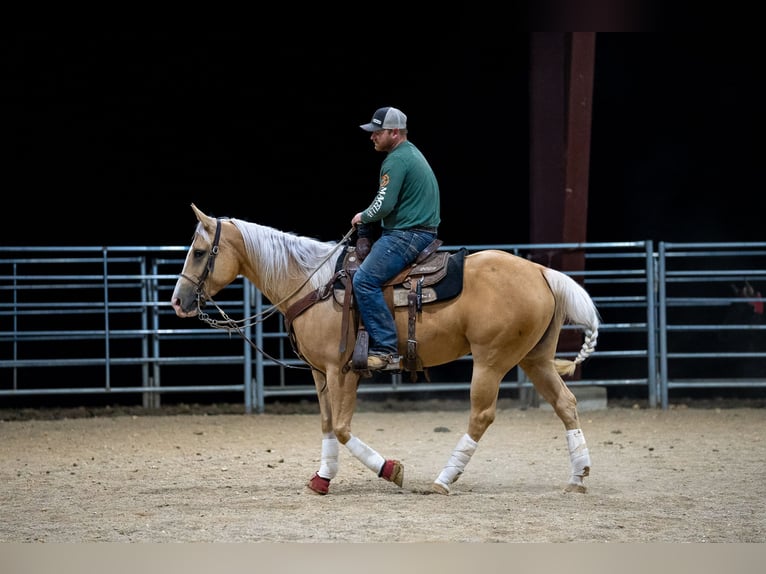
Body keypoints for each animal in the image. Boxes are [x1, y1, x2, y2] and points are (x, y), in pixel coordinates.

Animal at [171, 205, 604, 498]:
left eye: (199, 251)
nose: (177, 301)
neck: (315, 283)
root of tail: (541, 272)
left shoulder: (342, 370)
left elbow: (342, 428)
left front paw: (391, 470)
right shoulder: (319, 372)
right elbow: (327, 425)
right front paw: (321, 479)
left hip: (491, 361)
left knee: (481, 416)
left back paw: (443, 479)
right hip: (535, 360)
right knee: (566, 404)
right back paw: (578, 478)